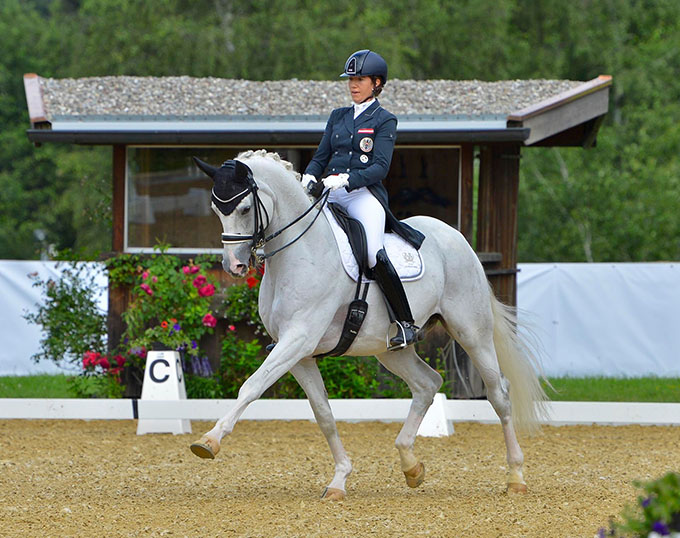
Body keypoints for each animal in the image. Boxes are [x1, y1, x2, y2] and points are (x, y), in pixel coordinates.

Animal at [190, 148, 548, 498]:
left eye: (245, 208)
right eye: (216, 209)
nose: (234, 266)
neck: (302, 251)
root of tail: (456, 237)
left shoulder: (298, 340)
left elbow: (251, 386)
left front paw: (209, 441)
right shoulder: (297, 353)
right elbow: (323, 413)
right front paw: (339, 479)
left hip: (472, 332)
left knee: (498, 394)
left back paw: (515, 476)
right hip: (389, 348)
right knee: (427, 384)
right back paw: (411, 466)